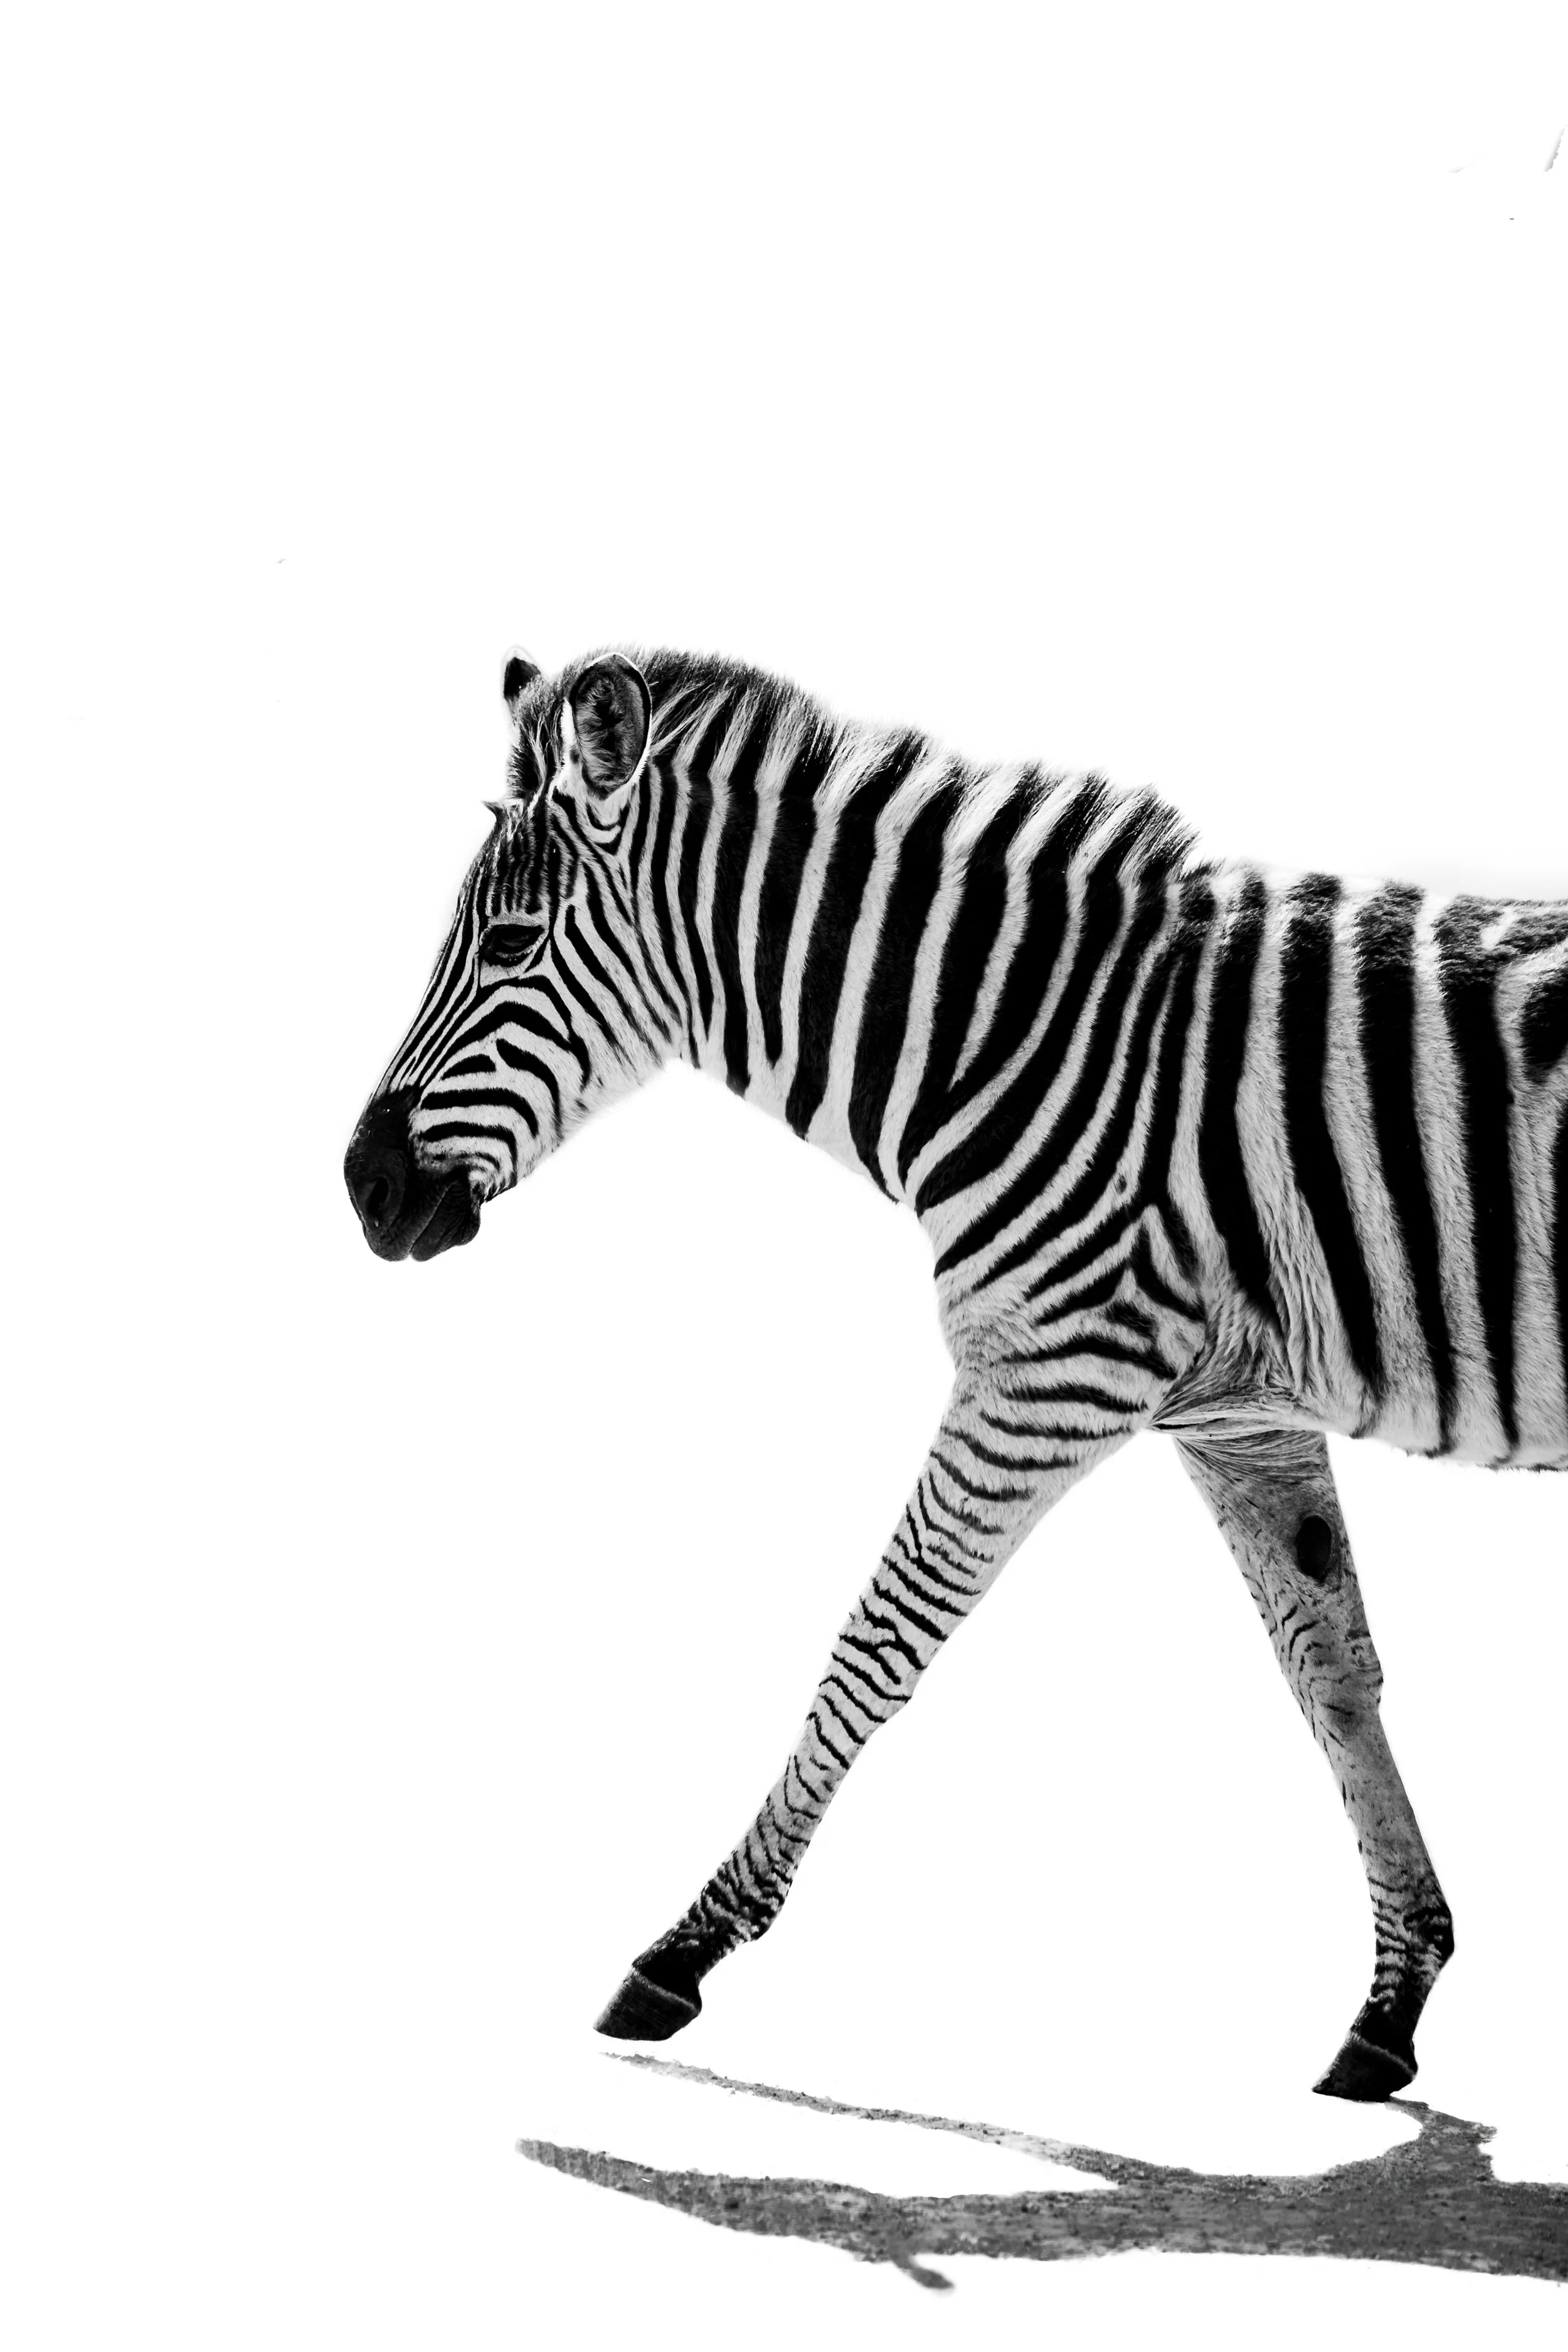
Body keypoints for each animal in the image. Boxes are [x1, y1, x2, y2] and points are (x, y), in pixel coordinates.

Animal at [344, 643, 1568, 2102]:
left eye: (511, 944)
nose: (362, 1189)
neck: (1018, 1040)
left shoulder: (1049, 1374)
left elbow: (874, 1647)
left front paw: (683, 1951)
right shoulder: (1236, 1415)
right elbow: (1331, 1673)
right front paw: (1393, 1999)